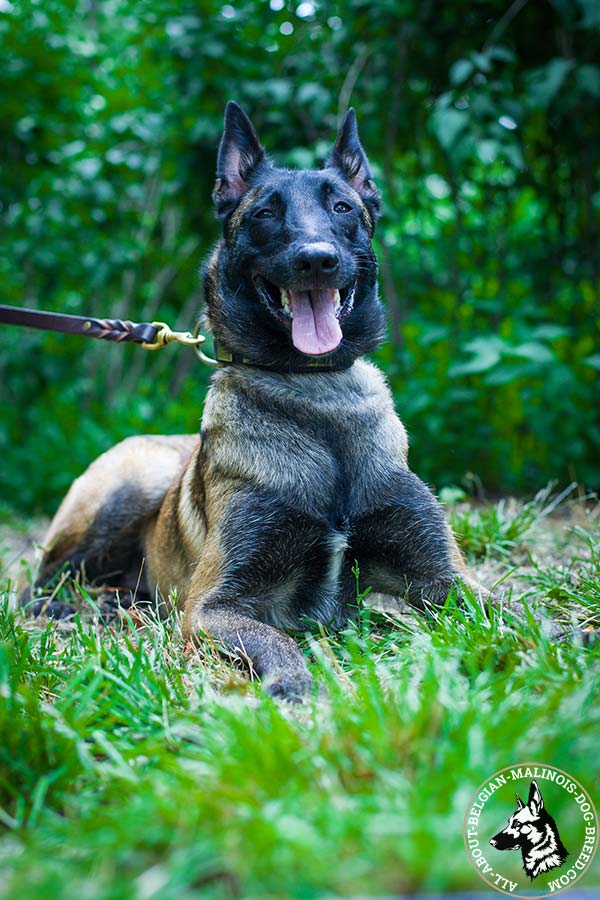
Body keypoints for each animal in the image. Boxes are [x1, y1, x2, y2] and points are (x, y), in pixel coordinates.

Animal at [30, 100, 486, 704]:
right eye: (265, 214)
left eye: (343, 207)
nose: (316, 260)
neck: (316, 393)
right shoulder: (214, 606)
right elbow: (279, 641)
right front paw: (296, 687)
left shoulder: (444, 578)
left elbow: (509, 611)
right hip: (126, 489)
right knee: (41, 578)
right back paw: (73, 608)